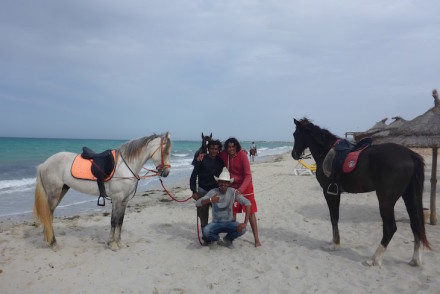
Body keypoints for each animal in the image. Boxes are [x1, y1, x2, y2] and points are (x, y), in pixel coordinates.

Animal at [33, 133, 171, 250]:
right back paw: (53, 243)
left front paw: (119, 242)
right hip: (54, 194)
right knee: (48, 215)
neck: (125, 166)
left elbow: (120, 221)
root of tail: (44, 164)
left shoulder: (124, 200)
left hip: (61, 191)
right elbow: (113, 221)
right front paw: (112, 244)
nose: (166, 173)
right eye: (165, 151)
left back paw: (48, 240)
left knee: (49, 215)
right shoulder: (117, 199)